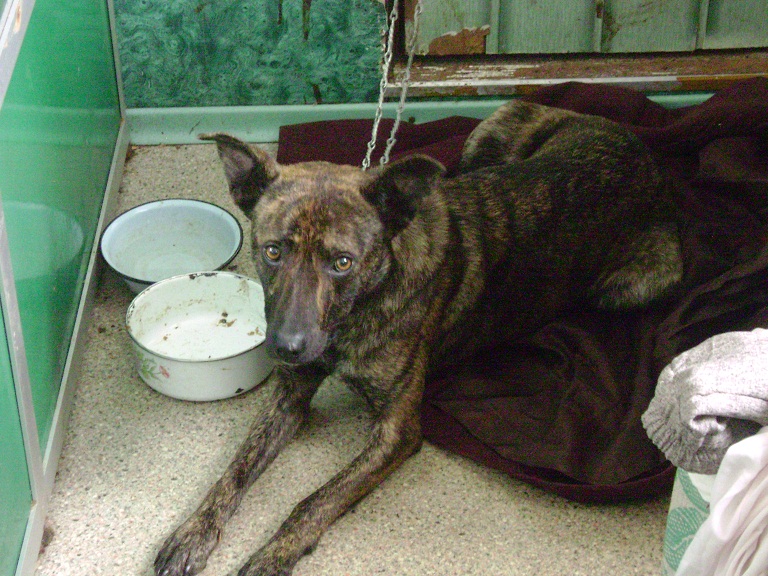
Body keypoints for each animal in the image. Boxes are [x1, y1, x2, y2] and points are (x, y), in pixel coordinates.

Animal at [154, 101, 683, 576]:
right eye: (272, 252)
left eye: (342, 262)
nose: (285, 347)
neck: (357, 310)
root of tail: (632, 141)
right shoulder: (290, 396)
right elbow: (235, 471)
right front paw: (193, 532)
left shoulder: (397, 432)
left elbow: (315, 500)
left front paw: (272, 556)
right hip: (492, 131)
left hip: (639, 282)